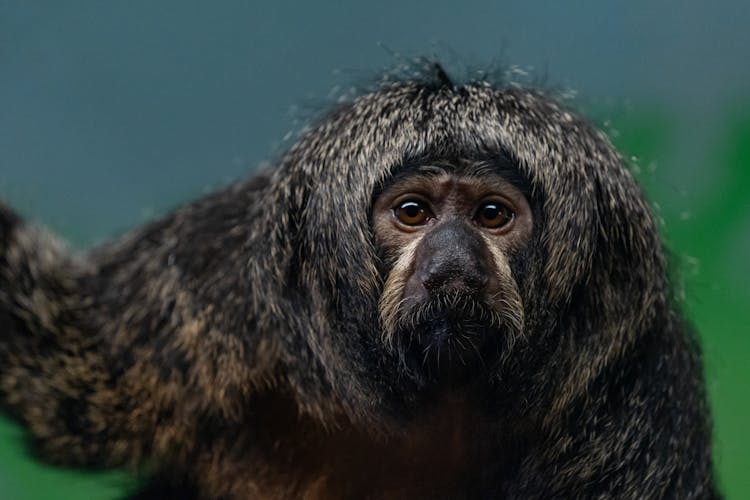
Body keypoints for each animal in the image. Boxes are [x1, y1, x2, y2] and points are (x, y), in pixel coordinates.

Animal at [0, 64, 724, 498]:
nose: (452, 261)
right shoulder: (219, 280)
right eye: (413, 212)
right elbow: (57, 375)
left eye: (492, 215)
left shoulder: (638, 387)